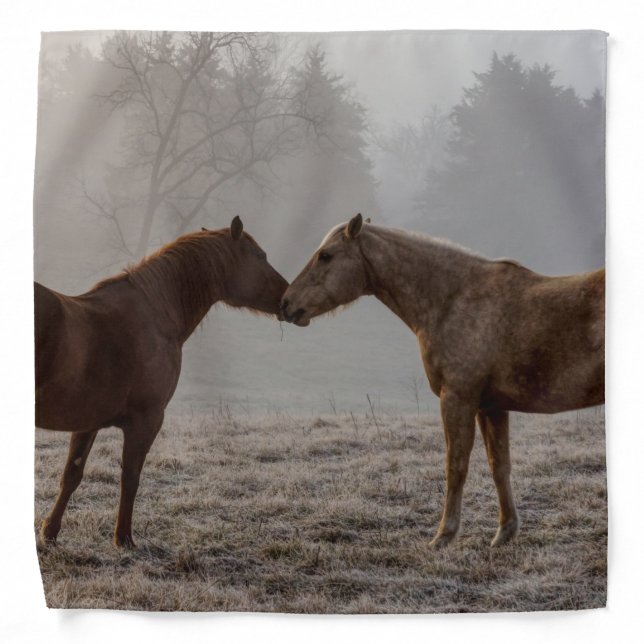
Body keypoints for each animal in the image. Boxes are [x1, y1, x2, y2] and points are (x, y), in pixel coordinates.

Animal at [36, 216, 288, 547]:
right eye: (260, 256)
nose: (288, 298)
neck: (155, 314)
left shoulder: (87, 421)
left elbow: (72, 475)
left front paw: (49, 532)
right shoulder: (147, 420)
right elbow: (130, 478)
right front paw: (124, 539)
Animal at [280, 213, 604, 548]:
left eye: (326, 255)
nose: (285, 303)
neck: (454, 300)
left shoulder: (457, 399)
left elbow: (455, 467)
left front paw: (444, 535)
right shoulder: (490, 407)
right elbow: (499, 465)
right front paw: (505, 531)